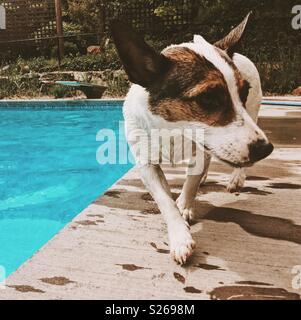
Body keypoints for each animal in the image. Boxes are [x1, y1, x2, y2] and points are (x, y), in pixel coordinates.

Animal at [111, 13, 274, 264]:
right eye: (207, 99)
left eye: (244, 93)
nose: (266, 149)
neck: (175, 129)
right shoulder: (147, 165)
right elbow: (164, 201)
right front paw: (180, 235)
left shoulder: (201, 152)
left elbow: (190, 183)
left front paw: (185, 207)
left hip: (253, 114)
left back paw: (236, 177)